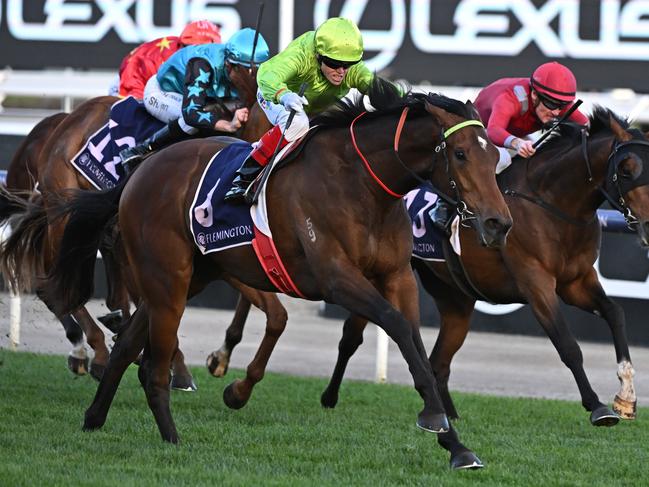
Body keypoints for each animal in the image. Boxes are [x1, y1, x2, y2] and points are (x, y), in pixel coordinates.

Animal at [45, 80, 512, 468]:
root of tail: (140, 169)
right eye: (460, 154)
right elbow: (395, 325)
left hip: (188, 278)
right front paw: (435, 417)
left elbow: (416, 344)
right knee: (153, 368)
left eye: (494, 155)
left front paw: (455, 444)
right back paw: (172, 439)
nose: (498, 223)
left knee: (127, 348)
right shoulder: (336, 278)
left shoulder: (396, 276)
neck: (362, 185)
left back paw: (94, 417)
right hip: (167, 278)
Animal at [320, 109, 649, 428]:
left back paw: (448, 415)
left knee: (439, 361)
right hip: (380, 276)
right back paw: (329, 397)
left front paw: (626, 397)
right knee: (351, 337)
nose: (647, 225)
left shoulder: (577, 281)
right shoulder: (536, 281)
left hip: (455, 299)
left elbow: (615, 313)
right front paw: (597, 406)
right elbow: (568, 346)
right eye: (627, 169)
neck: (551, 202)